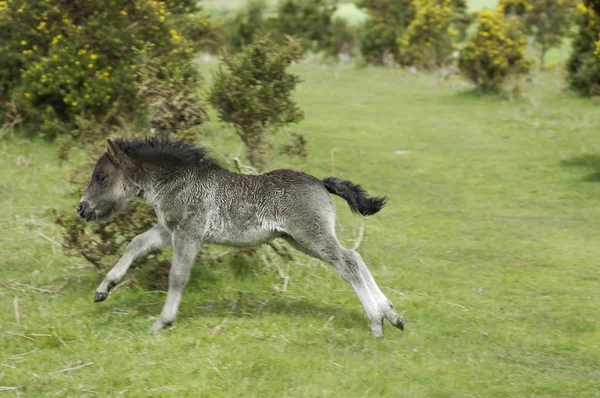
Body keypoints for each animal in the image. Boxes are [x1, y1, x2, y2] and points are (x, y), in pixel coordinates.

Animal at [76, 137, 404, 336]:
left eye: (101, 176)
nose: (81, 208)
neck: (175, 181)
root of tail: (320, 182)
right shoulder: (168, 230)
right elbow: (136, 244)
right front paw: (104, 289)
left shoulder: (188, 234)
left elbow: (178, 276)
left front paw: (162, 321)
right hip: (300, 240)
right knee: (355, 258)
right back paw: (393, 316)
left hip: (311, 236)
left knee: (347, 264)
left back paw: (377, 322)